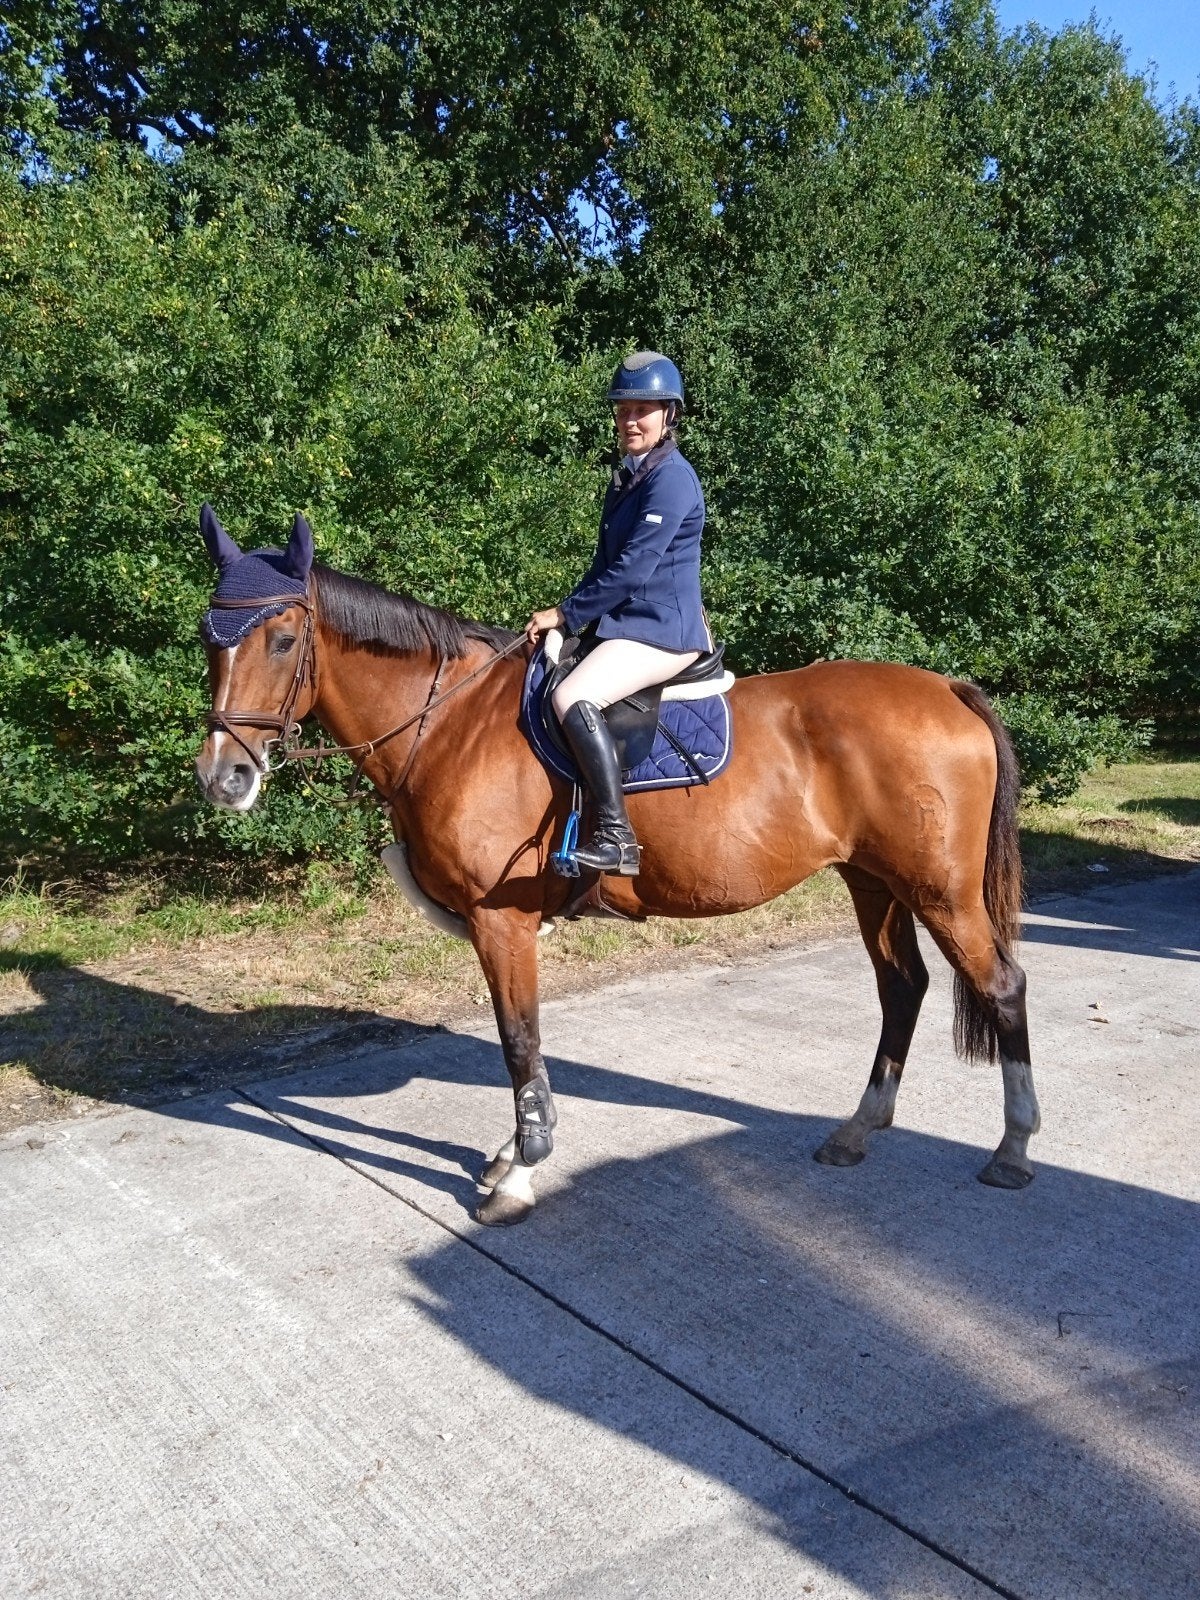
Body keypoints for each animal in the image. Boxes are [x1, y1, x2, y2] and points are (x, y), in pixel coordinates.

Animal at [195, 506, 1039, 1225]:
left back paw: (1013, 1147)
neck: (452, 720)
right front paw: (512, 1151)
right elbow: (520, 1042)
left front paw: (521, 1171)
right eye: (210, 638)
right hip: (875, 883)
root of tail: (948, 689)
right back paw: (858, 1129)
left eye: (280, 639)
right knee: (902, 988)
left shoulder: (502, 922)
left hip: (940, 891)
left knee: (1001, 985)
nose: (222, 777)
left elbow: (518, 1039)